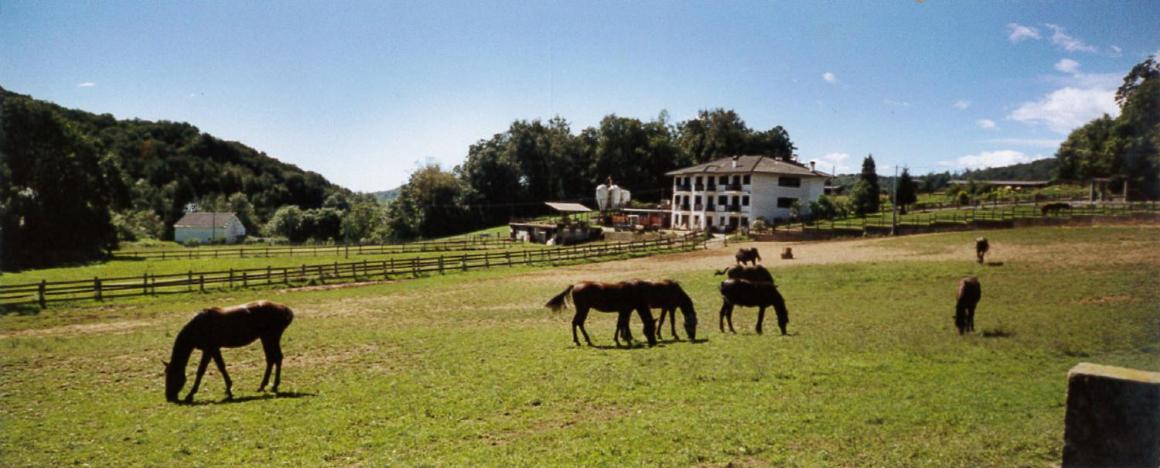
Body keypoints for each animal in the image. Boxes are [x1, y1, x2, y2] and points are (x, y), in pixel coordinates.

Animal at [164, 301, 294, 404]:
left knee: (276, 358)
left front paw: (190, 395)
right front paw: (229, 389)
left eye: (171, 376)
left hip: (270, 337)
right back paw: (263, 386)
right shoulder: (214, 349)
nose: (169, 397)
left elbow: (201, 371)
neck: (198, 326)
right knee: (272, 359)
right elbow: (221, 367)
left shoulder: (209, 349)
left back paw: (274, 385)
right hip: (266, 338)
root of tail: (285, 309)